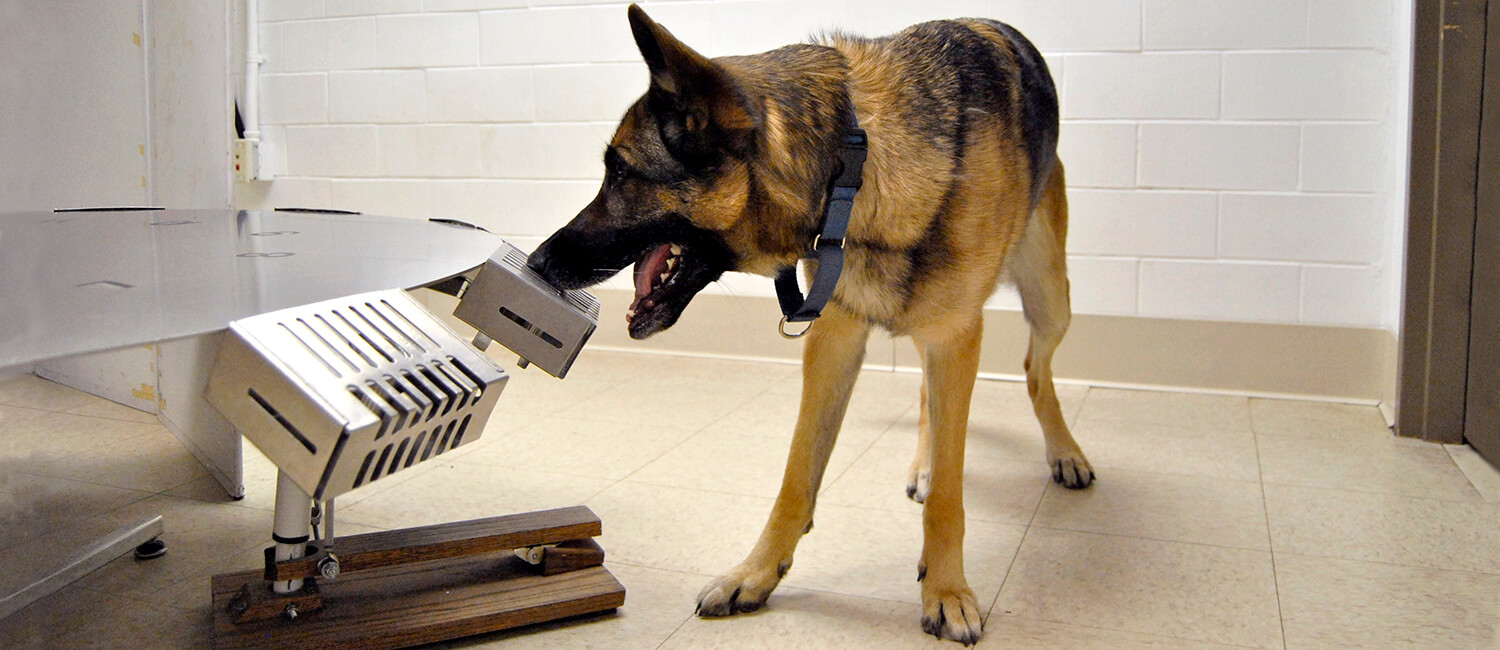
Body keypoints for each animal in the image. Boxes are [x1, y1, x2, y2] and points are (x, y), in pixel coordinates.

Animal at [528, 5, 1092, 642]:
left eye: (621, 173)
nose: (537, 262)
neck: (854, 167)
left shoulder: (954, 336)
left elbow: (952, 494)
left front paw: (948, 591)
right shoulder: (835, 340)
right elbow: (797, 476)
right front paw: (756, 573)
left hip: (1050, 299)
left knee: (1034, 372)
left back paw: (1065, 452)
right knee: (932, 395)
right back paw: (924, 465)